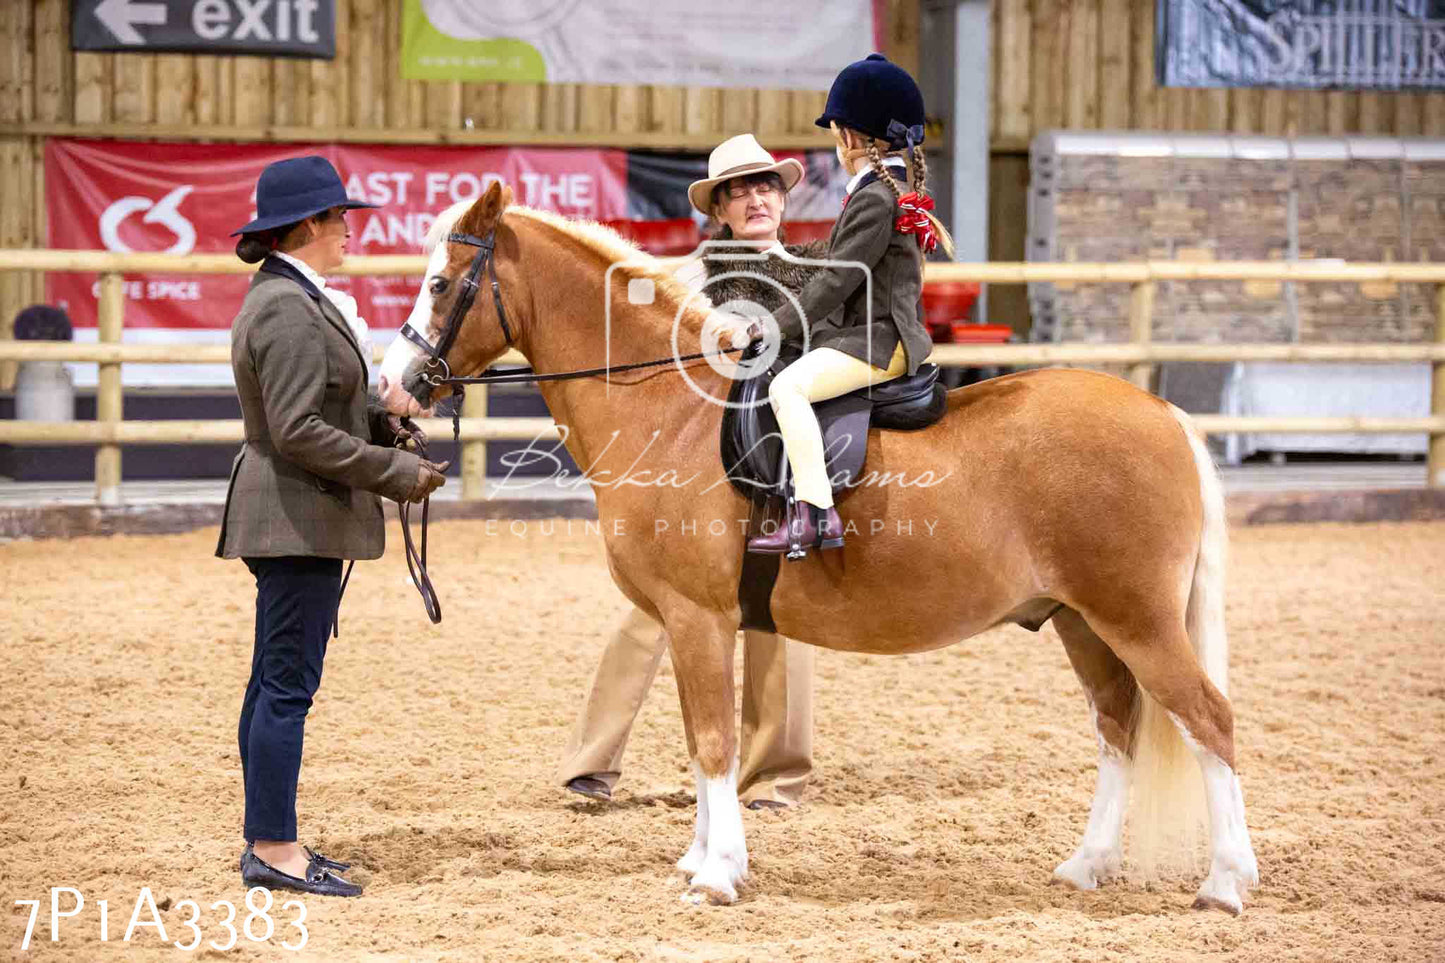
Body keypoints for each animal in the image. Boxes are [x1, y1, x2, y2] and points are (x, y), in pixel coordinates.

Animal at [378, 183, 1260, 913]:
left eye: (442, 284)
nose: (392, 386)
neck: (670, 407)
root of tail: (1161, 413)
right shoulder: (688, 623)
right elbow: (701, 741)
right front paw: (702, 856)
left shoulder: (696, 618)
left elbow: (712, 742)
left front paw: (715, 873)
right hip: (1081, 620)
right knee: (1117, 725)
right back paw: (1088, 864)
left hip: (1136, 620)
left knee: (1208, 721)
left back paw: (1222, 883)